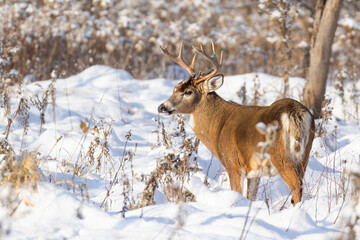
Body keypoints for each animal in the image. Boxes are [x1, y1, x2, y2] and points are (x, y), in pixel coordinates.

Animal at [158, 42, 316, 205]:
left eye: (188, 92)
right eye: (174, 88)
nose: (161, 107)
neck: (217, 127)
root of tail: (295, 113)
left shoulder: (232, 163)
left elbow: (238, 193)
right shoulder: (254, 171)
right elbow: (251, 196)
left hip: (281, 157)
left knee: (297, 187)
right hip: (304, 155)